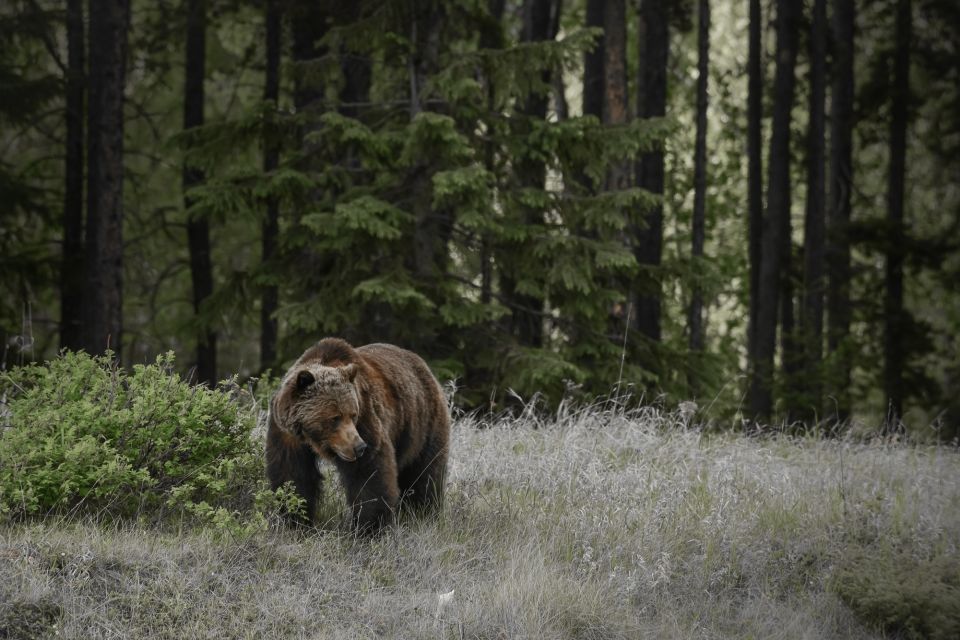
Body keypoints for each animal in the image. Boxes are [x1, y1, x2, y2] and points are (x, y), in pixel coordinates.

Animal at [266, 338, 450, 532]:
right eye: (335, 417)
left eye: (352, 414)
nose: (359, 446)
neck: (313, 439)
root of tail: (425, 367)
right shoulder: (286, 434)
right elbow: (292, 475)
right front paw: (294, 521)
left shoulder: (366, 419)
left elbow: (369, 475)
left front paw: (369, 527)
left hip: (422, 425)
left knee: (425, 473)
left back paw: (423, 512)